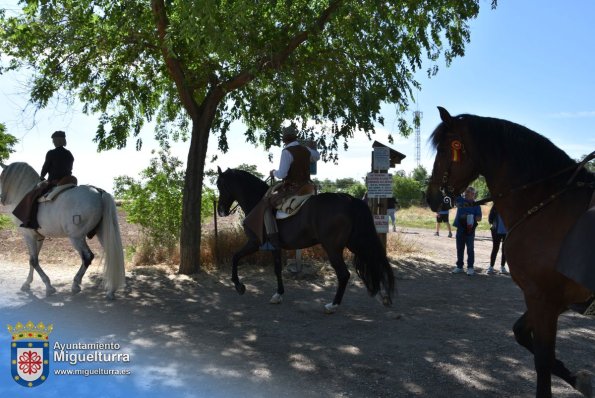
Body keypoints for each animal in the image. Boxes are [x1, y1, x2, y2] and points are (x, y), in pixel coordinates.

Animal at [0, 162, 125, 298]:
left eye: (2, 177)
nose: (2, 199)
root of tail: (98, 192)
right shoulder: (38, 237)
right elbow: (33, 259)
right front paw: (27, 283)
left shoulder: (28, 236)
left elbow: (33, 261)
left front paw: (48, 286)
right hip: (101, 234)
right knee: (111, 255)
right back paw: (111, 290)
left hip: (76, 237)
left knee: (87, 257)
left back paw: (76, 284)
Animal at [215, 166, 396, 312]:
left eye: (220, 185)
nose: (221, 210)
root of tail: (350, 200)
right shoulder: (274, 246)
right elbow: (277, 269)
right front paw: (278, 294)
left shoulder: (254, 242)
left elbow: (235, 257)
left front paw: (239, 285)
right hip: (355, 243)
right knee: (373, 261)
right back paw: (383, 295)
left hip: (333, 248)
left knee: (344, 274)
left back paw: (333, 305)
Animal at [426, 106, 592, 398]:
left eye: (445, 149)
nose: (432, 197)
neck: (546, 203)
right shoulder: (557, 300)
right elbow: (521, 334)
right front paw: (579, 379)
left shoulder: (543, 298)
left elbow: (543, 359)